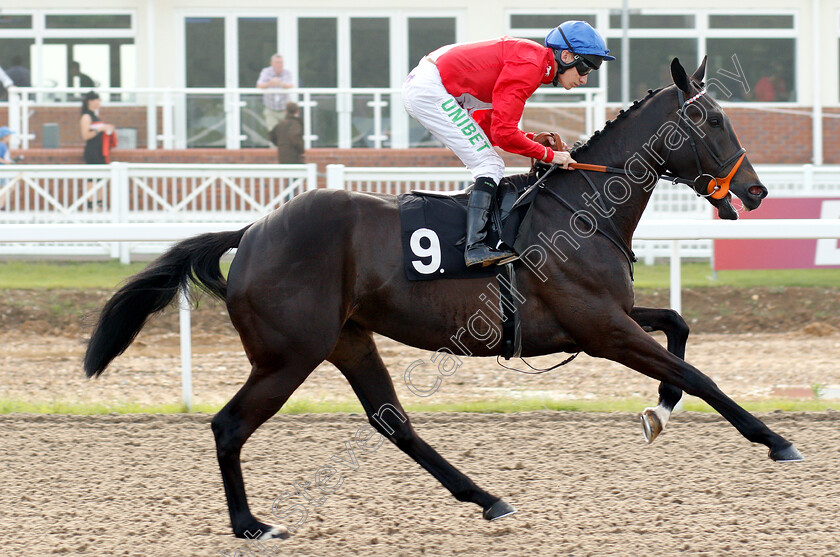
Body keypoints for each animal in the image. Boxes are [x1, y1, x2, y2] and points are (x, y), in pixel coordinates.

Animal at [83, 58, 800, 540]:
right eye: (711, 118)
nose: (758, 191)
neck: (581, 209)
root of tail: (253, 231)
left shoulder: (601, 321)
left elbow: (678, 327)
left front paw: (659, 410)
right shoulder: (601, 328)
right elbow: (700, 373)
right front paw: (774, 439)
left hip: (348, 339)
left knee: (393, 422)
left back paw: (486, 498)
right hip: (289, 355)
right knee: (229, 425)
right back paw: (251, 524)